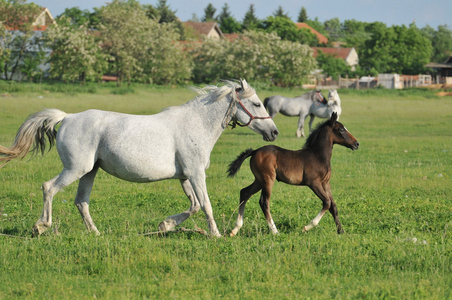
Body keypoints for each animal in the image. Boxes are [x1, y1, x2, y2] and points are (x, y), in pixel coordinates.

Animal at [0, 79, 278, 237]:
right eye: (255, 104)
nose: (274, 132)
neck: (196, 124)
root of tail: (67, 117)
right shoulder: (196, 173)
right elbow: (206, 205)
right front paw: (216, 235)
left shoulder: (185, 176)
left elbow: (194, 205)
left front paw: (165, 225)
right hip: (75, 169)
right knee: (49, 188)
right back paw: (41, 226)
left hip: (89, 172)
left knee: (81, 202)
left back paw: (95, 233)